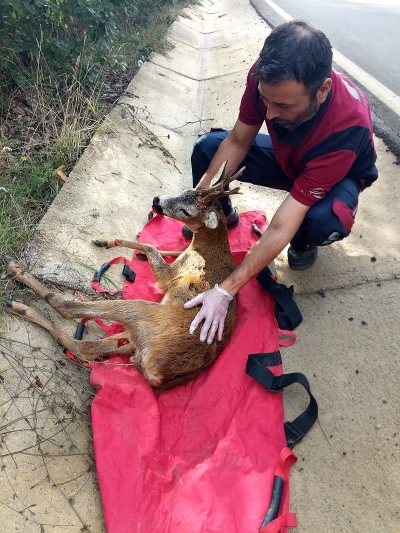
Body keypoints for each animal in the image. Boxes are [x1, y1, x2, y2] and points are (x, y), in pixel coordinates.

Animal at [3, 160, 244, 388]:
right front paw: (106, 240)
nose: (156, 200)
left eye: (186, 211)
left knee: (71, 314)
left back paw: (17, 279)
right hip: (135, 337)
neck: (207, 246)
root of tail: (160, 373)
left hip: (146, 314)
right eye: (185, 191)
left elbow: (151, 247)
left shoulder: (173, 274)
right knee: (88, 349)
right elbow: (159, 247)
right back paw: (21, 305)